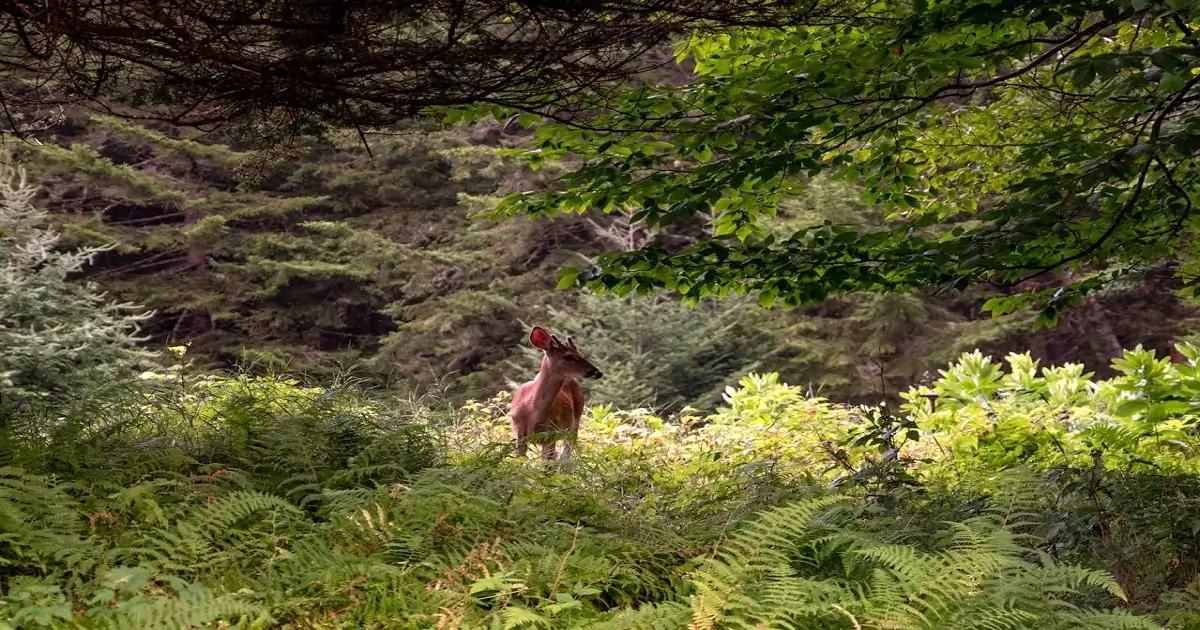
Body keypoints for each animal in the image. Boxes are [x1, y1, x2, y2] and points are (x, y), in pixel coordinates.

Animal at [510, 326, 603, 460]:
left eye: (581, 354)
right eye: (568, 356)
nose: (597, 372)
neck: (532, 412)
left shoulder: (551, 433)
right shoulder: (519, 432)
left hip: (575, 420)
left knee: (567, 451)